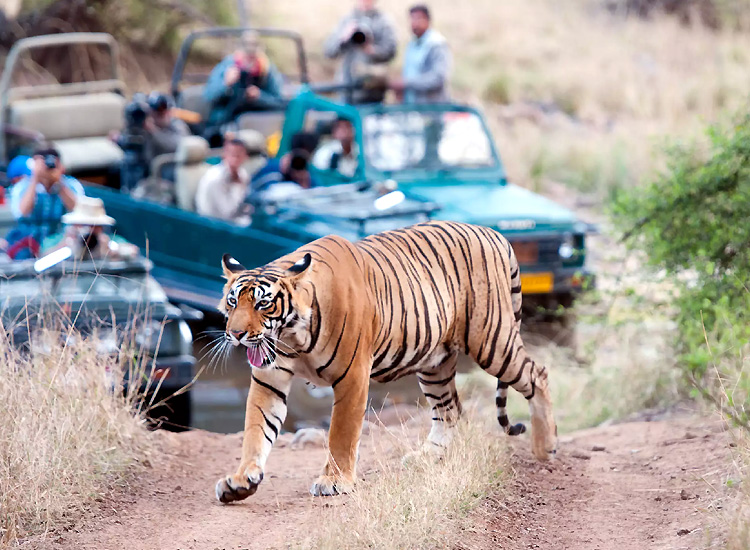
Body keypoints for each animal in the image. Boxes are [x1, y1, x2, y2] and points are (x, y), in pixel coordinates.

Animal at [214, 220, 556, 504]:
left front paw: (334, 481)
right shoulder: (269, 379)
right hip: (435, 363)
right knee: (449, 410)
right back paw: (425, 457)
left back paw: (545, 448)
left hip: (491, 340)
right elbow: (256, 429)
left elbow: (341, 433)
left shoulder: (352, 376)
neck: (293, 336)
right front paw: (240, 481)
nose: (236, 334)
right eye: (232, 302)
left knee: (538, 375)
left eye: (263, 304)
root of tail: (493, 233)